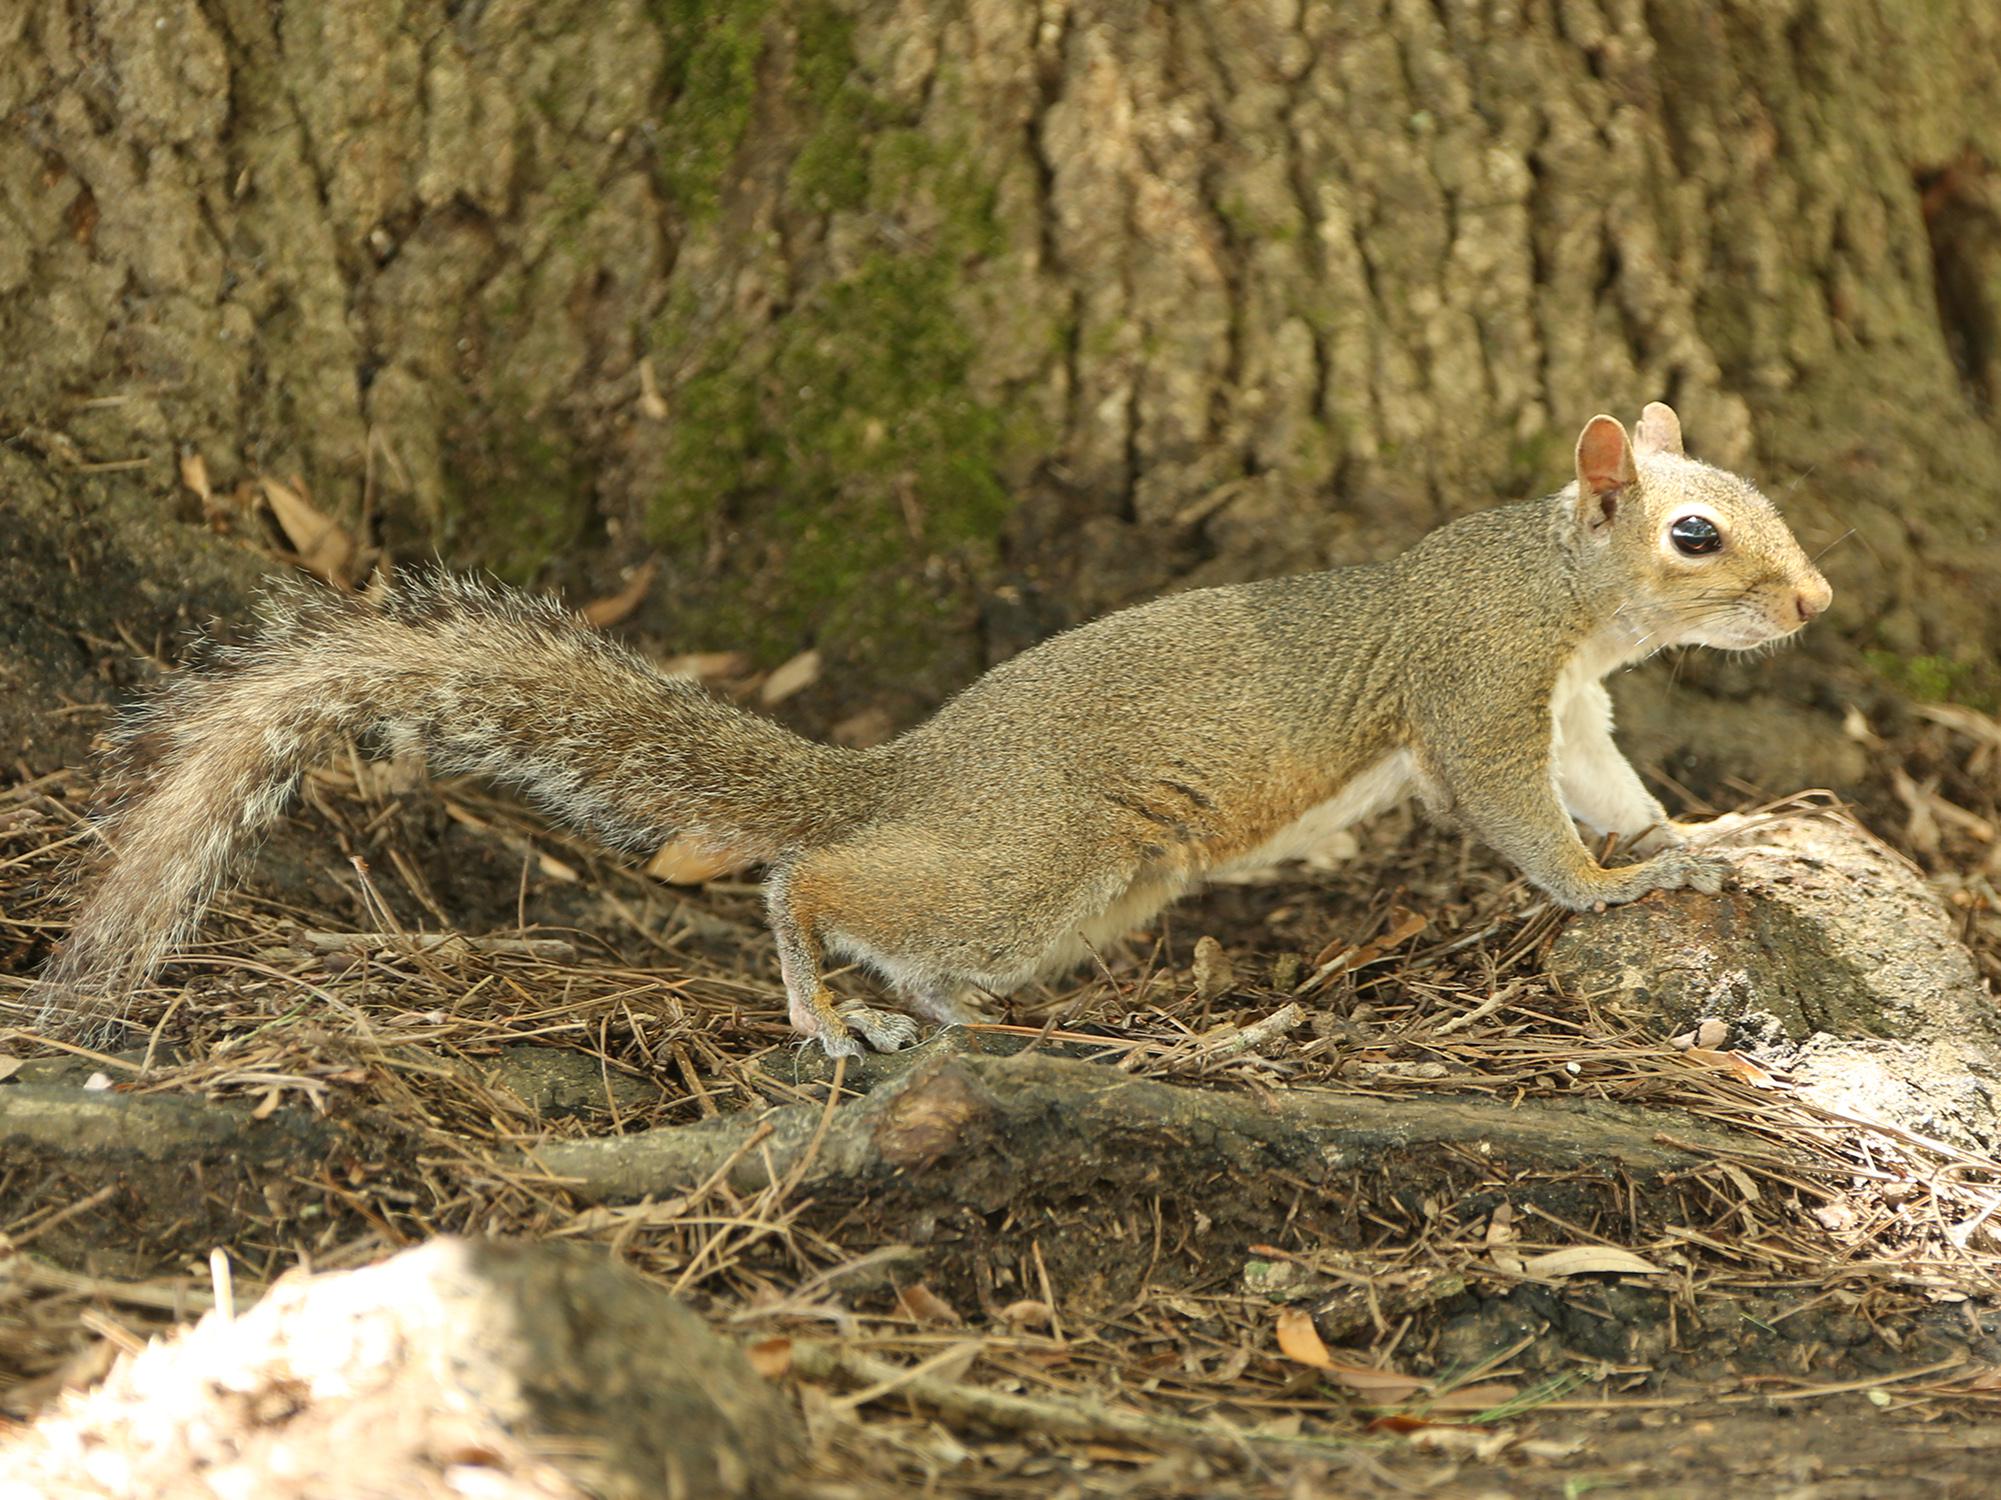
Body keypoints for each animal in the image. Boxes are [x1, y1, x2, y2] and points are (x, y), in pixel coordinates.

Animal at [43, 402, 1832, 1056]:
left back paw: (928, 1011)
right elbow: (1521, 818)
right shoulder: (1476, 689)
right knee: (811, 884)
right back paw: (827, 1009)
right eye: (1695, 535)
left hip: (1084, 891)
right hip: (1046, 855)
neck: (1561, 592)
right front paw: (1613, 887)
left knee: (906, 937)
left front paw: (1699, 833)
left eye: (1755, 493)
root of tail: (896, 777)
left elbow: (1610, 783)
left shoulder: (1576, 705)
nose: (1814, 603)